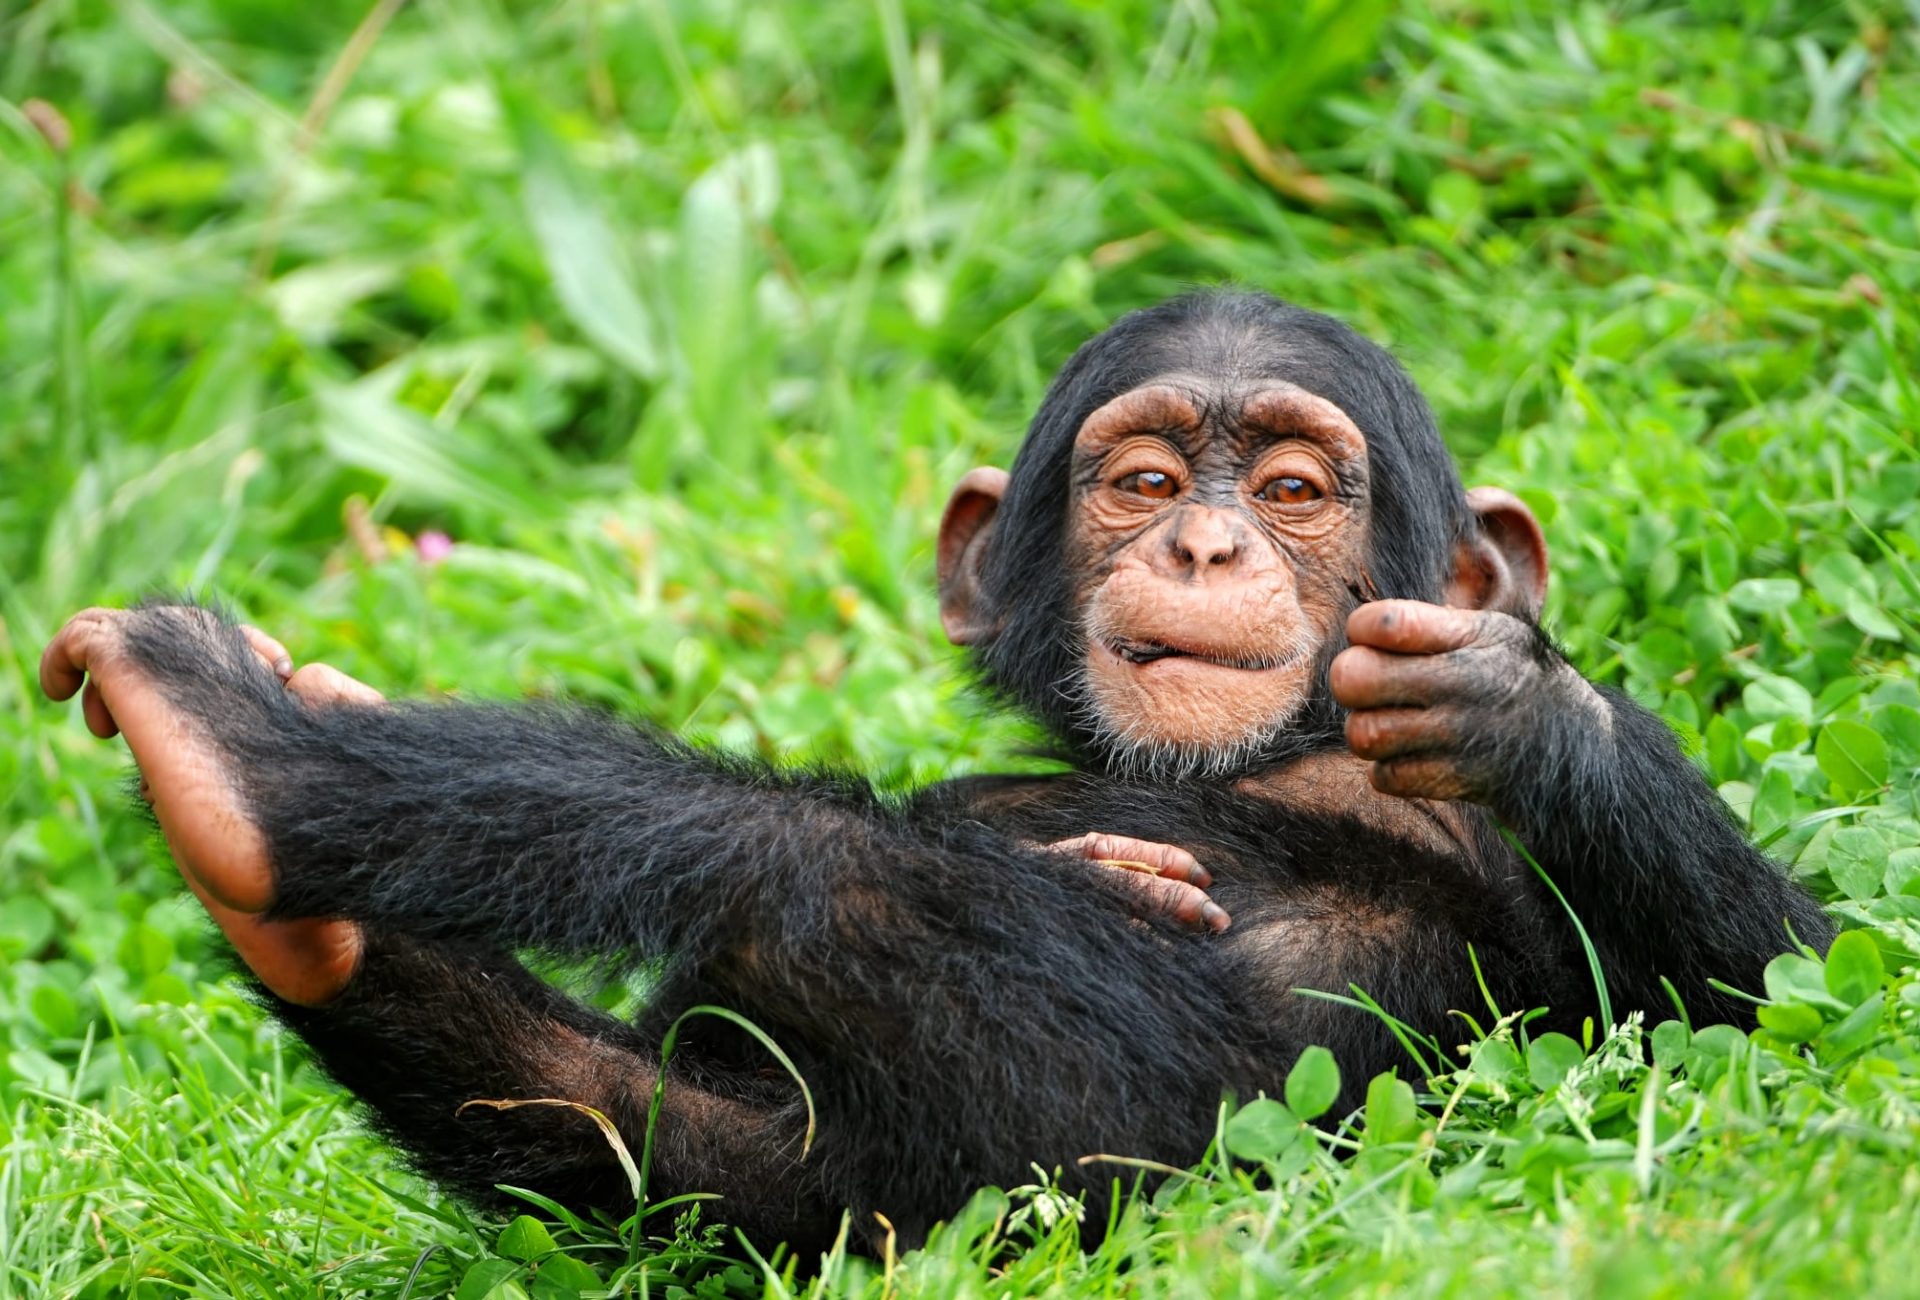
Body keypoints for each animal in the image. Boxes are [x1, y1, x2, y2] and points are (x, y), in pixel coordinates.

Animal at [37, 291, 1820, 1244]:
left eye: (1298, 487)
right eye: (1145, 476)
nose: (1208, 537)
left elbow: (1770, 995)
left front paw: (1522, 704)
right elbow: (708, 1149)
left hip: (1130, 1137)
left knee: (817, 871)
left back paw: (254, 761)